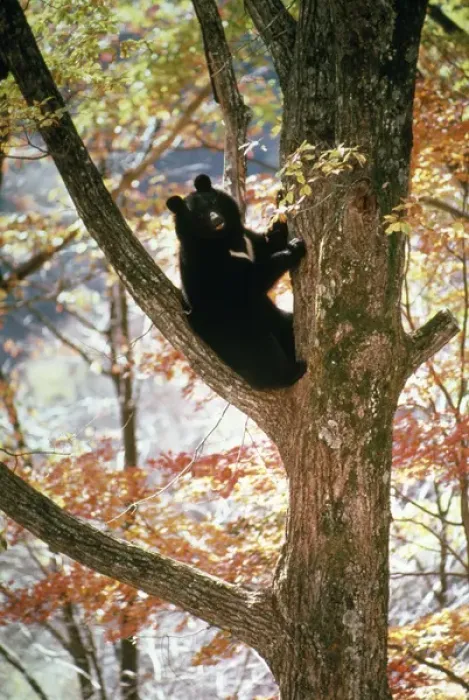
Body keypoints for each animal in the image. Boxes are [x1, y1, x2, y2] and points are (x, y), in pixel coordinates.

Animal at [166, 174, 306, 390]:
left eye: (213, 202)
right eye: (199, 216)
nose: (217, 220)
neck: (222, 239)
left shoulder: (247, 240)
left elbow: (266, 244)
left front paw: (280, 204)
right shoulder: (210, 266)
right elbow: (246, 283)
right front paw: (294, 248)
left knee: (285, 325)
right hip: (236, 331)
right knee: (263, 354)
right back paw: (292, 372)